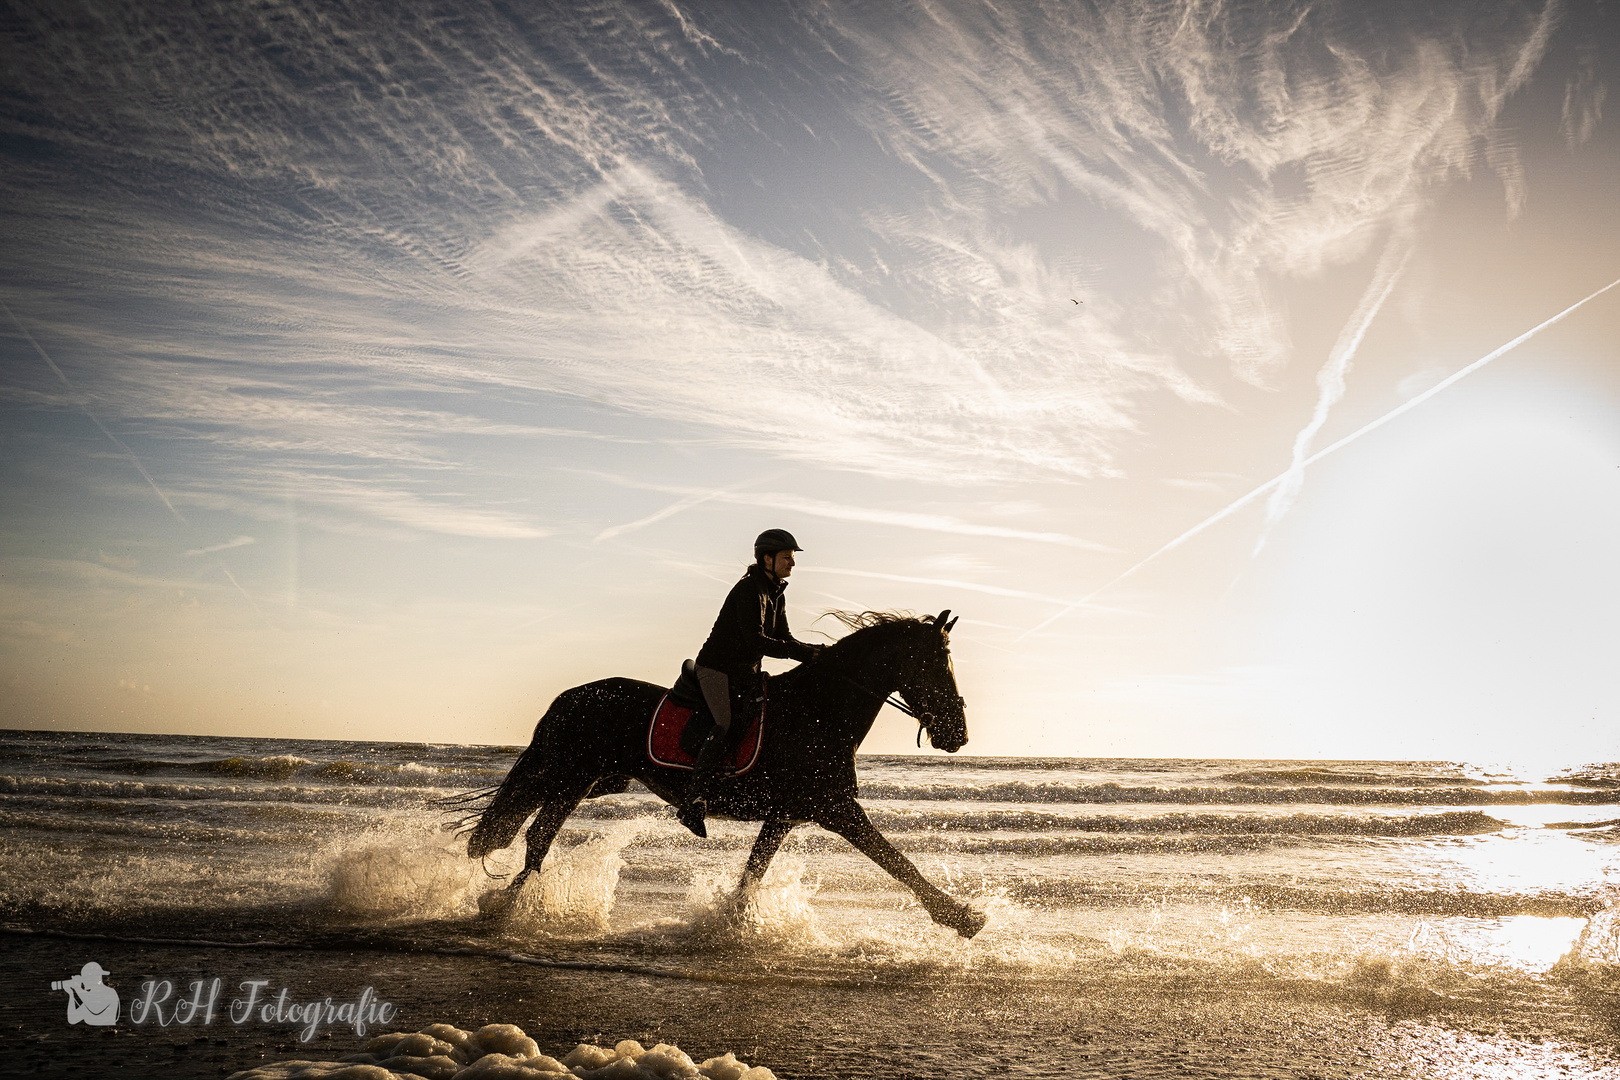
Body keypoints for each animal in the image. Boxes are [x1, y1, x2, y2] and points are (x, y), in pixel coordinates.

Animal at [460, 608, 984, 939]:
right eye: (937, 664)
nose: (957, 734)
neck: (819, 709)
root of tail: (572, 695)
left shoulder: (786, 815)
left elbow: (754, 871)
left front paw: (730, 923)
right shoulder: (835, 808)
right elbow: (895, 860)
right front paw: (961, 917)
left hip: (590, 782)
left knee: (530, 830)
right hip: (567, 777)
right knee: (535, 835)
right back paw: (506, 908)